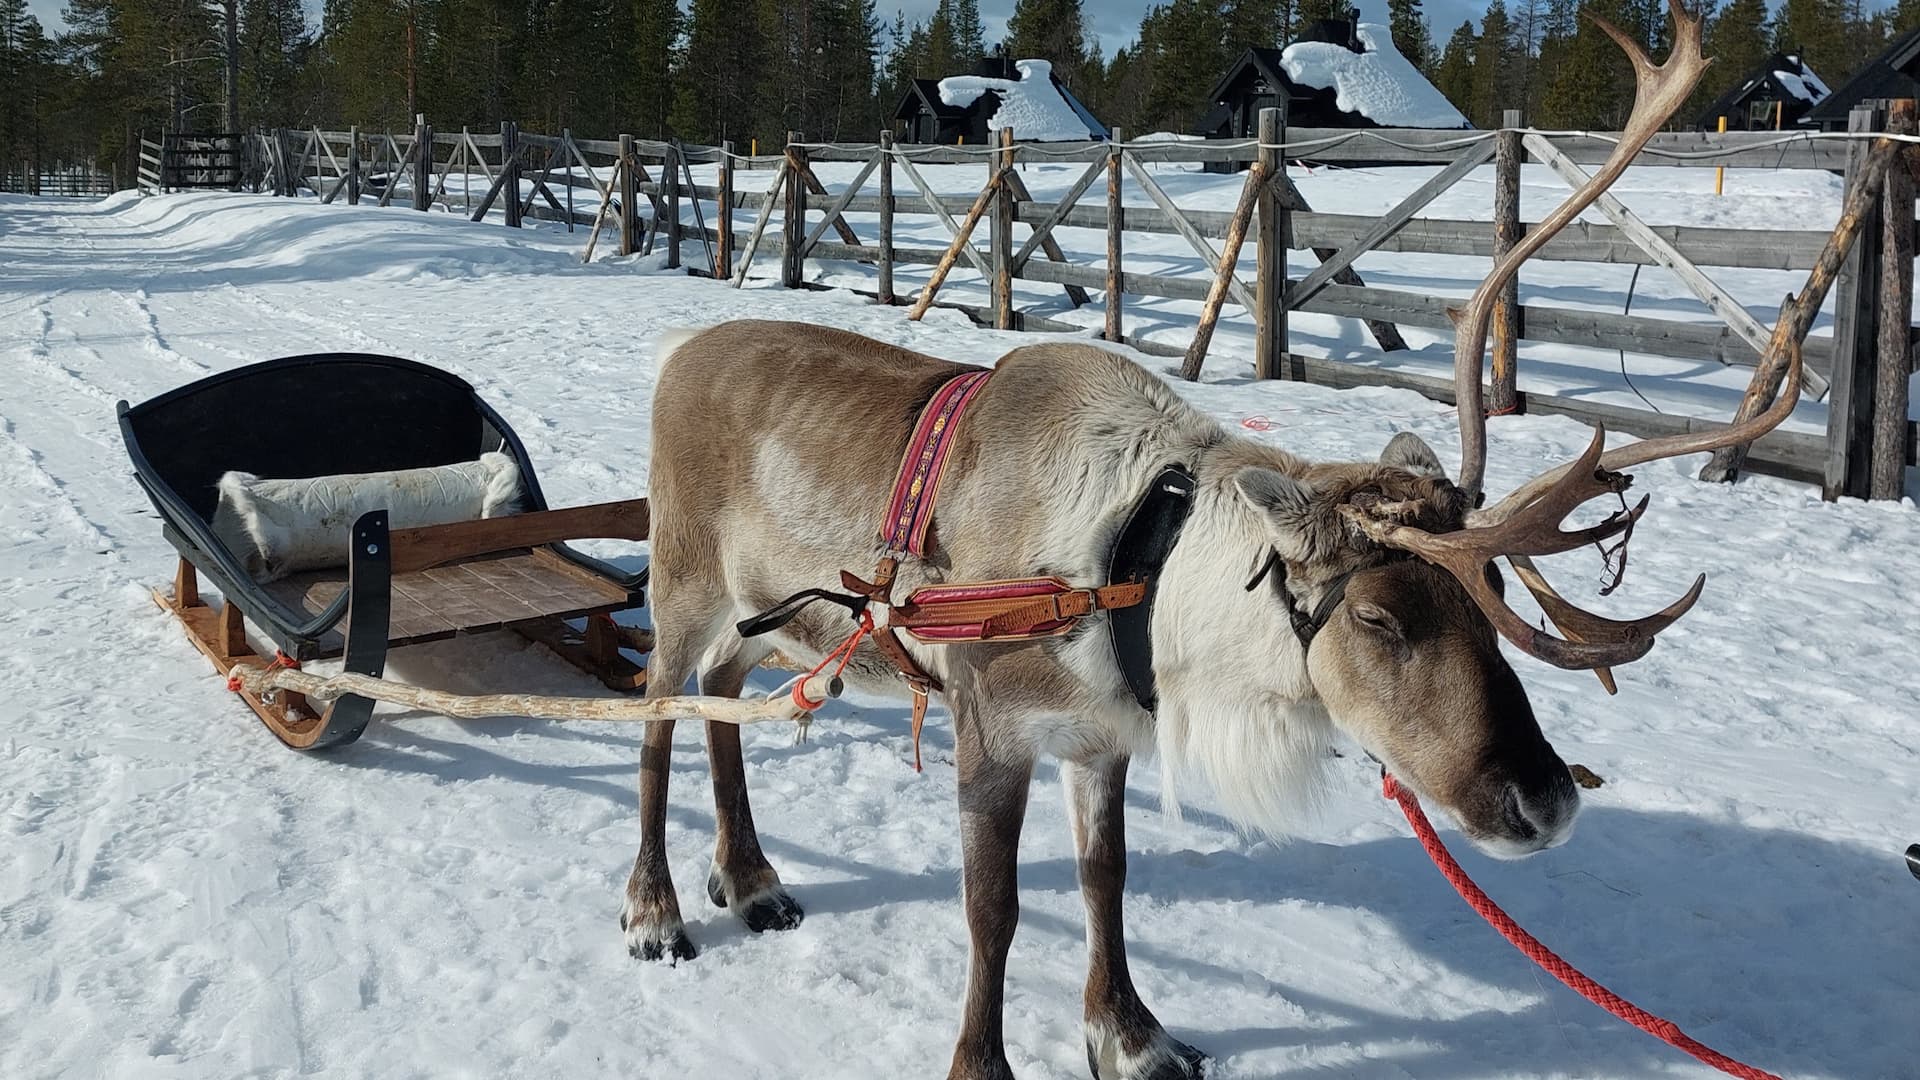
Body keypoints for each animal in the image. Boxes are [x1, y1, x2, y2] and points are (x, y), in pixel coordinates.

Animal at [619, 5, 1800, 1077]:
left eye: (1495, 601)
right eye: (1380, 617)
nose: (1545, 801)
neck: (1134, 573)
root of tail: (676, 351)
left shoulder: (1101, 737)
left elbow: (1105, 883)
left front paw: (1132, 1038)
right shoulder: (989, 725)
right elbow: (992, 911)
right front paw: (983, 1062)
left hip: (762, 620)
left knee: (721, 704)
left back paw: (752, 879)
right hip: (682, 586)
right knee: (657, 713)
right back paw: (657, 909)